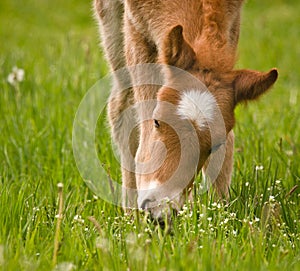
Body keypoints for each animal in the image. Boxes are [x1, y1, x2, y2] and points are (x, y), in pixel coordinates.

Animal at [94, 0, 278, 221]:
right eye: (157, 121)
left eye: (215, 145)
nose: (160, 211)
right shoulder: (135, 27)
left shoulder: (232, 21)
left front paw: (219, 213)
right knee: (121, 104)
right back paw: (130, 213)